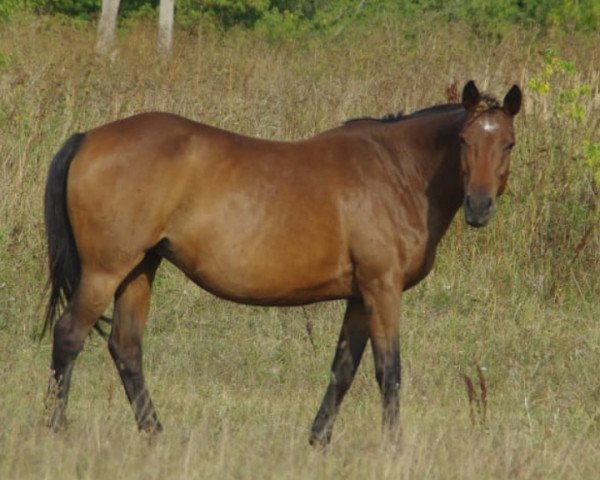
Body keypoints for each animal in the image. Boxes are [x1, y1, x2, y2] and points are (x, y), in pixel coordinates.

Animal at [43, 81, 520, 446]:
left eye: (508, 144)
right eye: (464, 141)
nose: (479, 207)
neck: (397, 172)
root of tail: (88, 137)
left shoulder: (360, 296)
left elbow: (344, 369)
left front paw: (318, 440)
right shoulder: (382, 288)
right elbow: (389, 371)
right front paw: (394, 447)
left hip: (140, 269)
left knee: (126, 348)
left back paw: (155, 435)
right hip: (105, 271)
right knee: (69, 336)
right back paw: (56, 430)